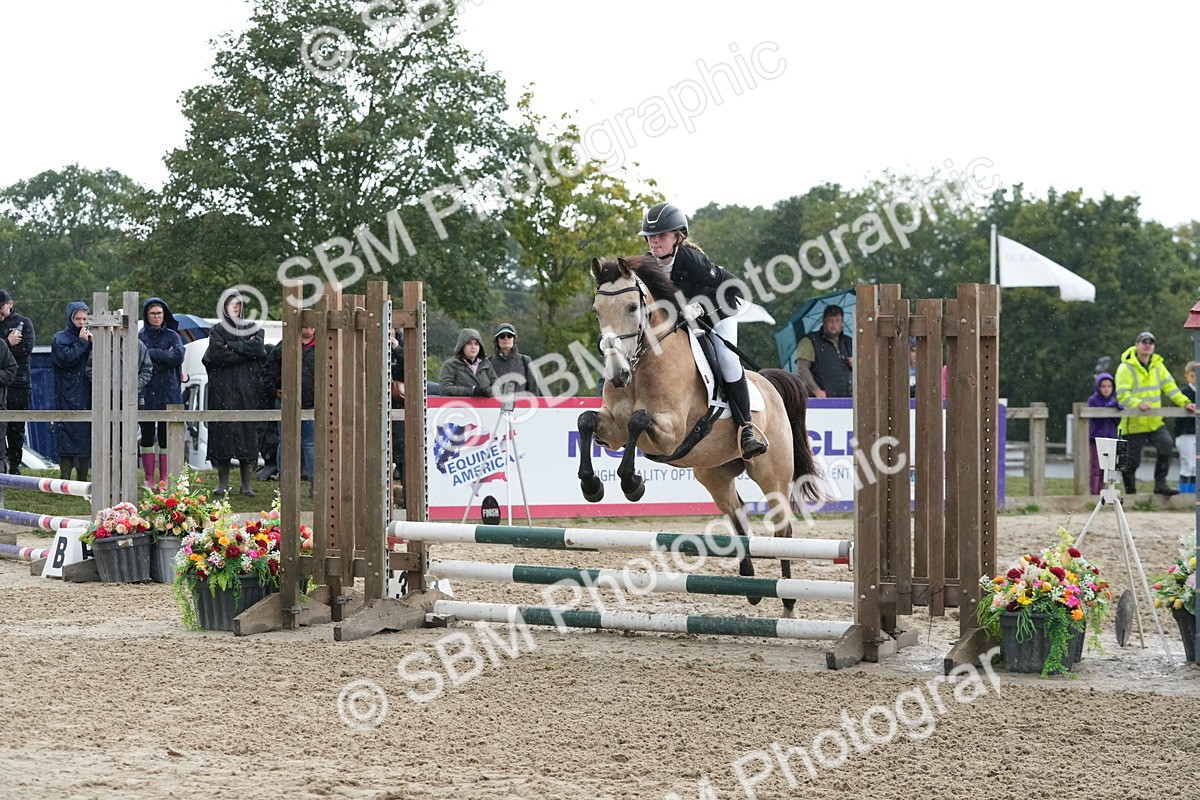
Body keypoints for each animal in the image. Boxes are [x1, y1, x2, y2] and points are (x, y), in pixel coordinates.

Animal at [576, 255, 821, 616]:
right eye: (596, 310)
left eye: (633, 306)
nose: (617, 374)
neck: (643, 365)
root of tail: (769, 383)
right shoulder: (613, 429)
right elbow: (586, 421)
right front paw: (591, 485)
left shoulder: (671, 431)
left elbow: (638, 420)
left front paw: (632, 483)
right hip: (714, 473)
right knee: (737, 512)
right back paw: (749, 584)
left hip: (772, 473)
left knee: (783, 528)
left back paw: (788, 601)